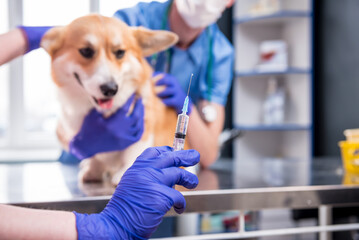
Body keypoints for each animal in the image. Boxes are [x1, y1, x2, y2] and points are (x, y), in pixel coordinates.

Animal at [41, 14, 183, 185]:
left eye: (120, 53)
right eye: (86, 51)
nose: (110, 89)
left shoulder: (145, 126)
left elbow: (134, 150)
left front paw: (127, 172)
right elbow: (95, 152)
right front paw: (93, 169)